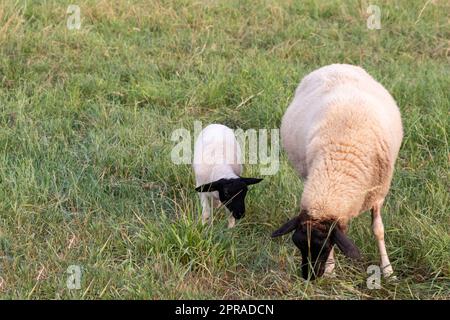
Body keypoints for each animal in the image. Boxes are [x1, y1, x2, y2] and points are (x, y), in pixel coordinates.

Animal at [270, 63, 404, 278]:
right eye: (298, 245)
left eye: (325, 246)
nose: (308, 277)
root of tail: (337, 65)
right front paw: (331, 269)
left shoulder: (378, 192)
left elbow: (378, 230)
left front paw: (388, 271)